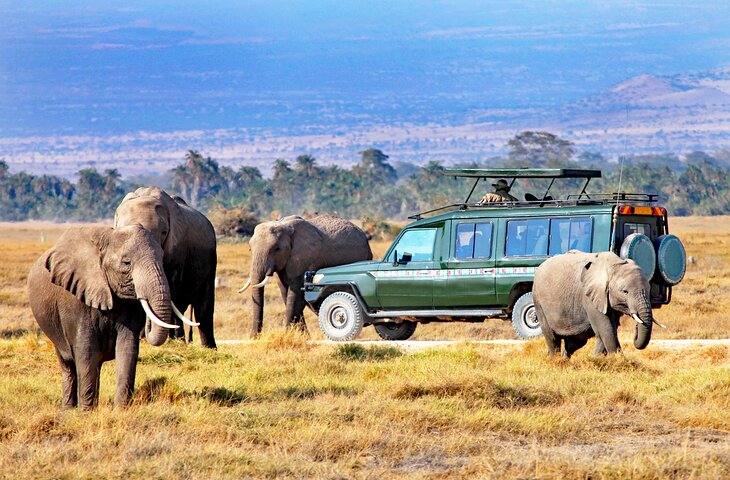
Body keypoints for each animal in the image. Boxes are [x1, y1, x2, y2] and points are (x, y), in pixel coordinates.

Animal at [27, 225, 189, 408]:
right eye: (126, 263)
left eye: (162, 259)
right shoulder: (76, 299)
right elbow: (86, 350)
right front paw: (86, 411)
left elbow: (127, 348)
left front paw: (120, 409)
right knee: (68, 365)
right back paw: (68, 409)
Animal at [240, 215, 370, 338]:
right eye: (250, 249)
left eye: (277, 249)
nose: (254, 337)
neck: (283, 225)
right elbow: (286, 294)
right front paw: (302, 337)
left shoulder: (305, 260)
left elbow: (295, 297)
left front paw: (288, 335)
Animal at [528, 251, 660, 356]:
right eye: (625, 292)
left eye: (649, 290)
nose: (637, 328)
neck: (614, 263)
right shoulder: (589, 297)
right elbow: (606, 329)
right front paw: (618, 360)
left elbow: (607, 331)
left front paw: (596, 359)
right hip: (538, 300)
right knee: (552, 338)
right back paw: (555, 361)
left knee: (575, 342)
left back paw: (564, 361)